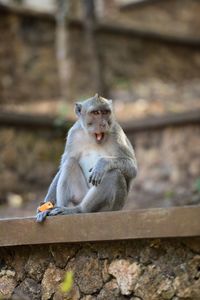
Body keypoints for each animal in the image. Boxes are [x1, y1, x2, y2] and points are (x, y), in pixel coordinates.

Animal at [36, 94, 137, 223]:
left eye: (106, 112)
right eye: (96, 113)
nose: (103, 124)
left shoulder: (117, 134)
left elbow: (132, 168)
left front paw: (101, 164)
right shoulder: (73, 134)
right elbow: (64, 164)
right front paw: (46, 206)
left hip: (113, 206)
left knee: (114, 174)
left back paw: (79, 210)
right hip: (80, 195)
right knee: (70, 163)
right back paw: (60, 208)